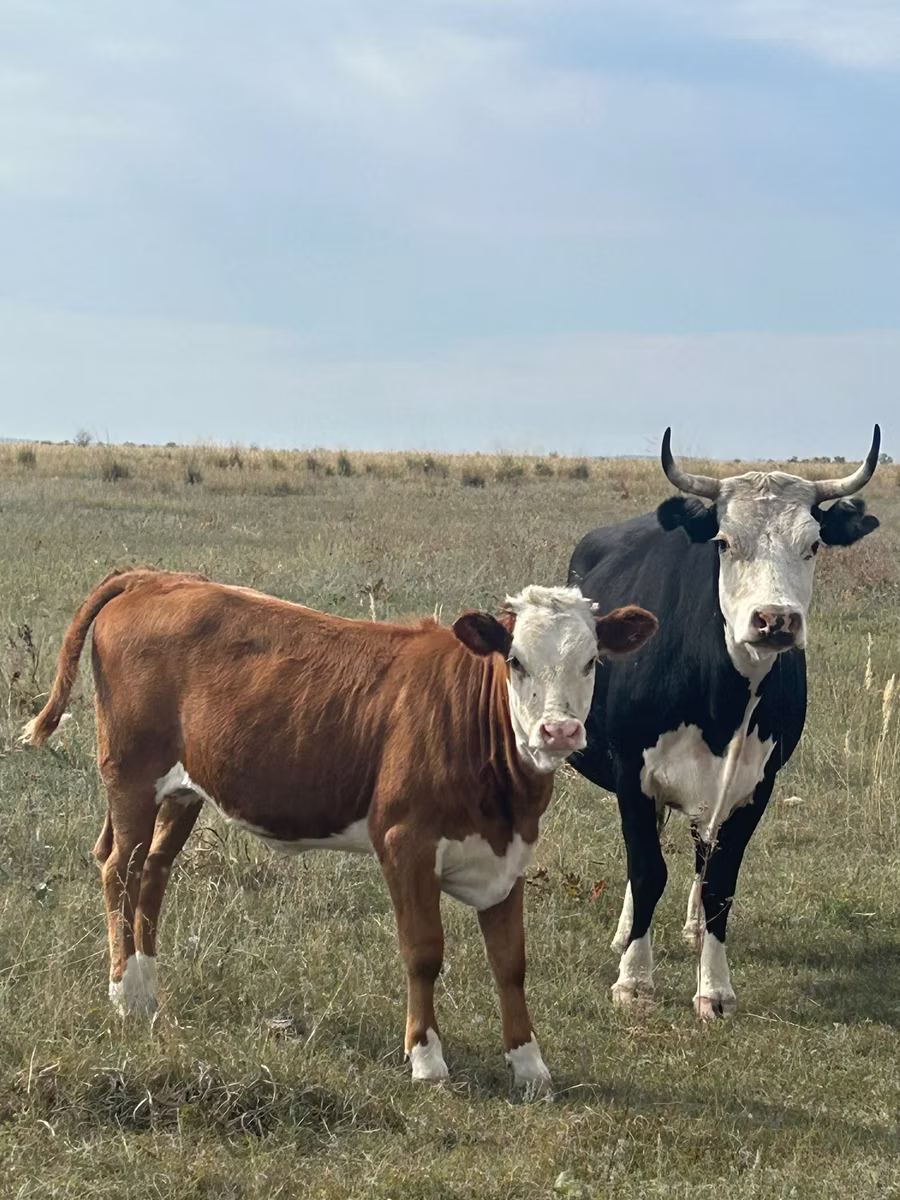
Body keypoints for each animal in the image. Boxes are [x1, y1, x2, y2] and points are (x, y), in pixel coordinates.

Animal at [22, 568, 656, 1094]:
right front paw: (426, 1057)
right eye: (516, 660)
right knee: (118, 869)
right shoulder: (404, 842)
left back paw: (147, 988)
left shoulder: (508, 857)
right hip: (131, 773)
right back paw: (124, 993)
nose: (558, 731)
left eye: (592, 662)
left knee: (151, 872)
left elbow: (511, 964)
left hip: (181, 790)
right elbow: (423, 952)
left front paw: (529, 1065)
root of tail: (156, 577)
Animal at [568, 427, 881, 1019]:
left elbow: (720, 882)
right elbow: (647, 870)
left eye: (813, 545)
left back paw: (690, 927)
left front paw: (713, 988)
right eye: (724, 542)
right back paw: (626, 932)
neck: (722, 701)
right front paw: (634, 980)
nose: (775, 620)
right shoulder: (631, 773)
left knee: (699, 850)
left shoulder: (755, 784)